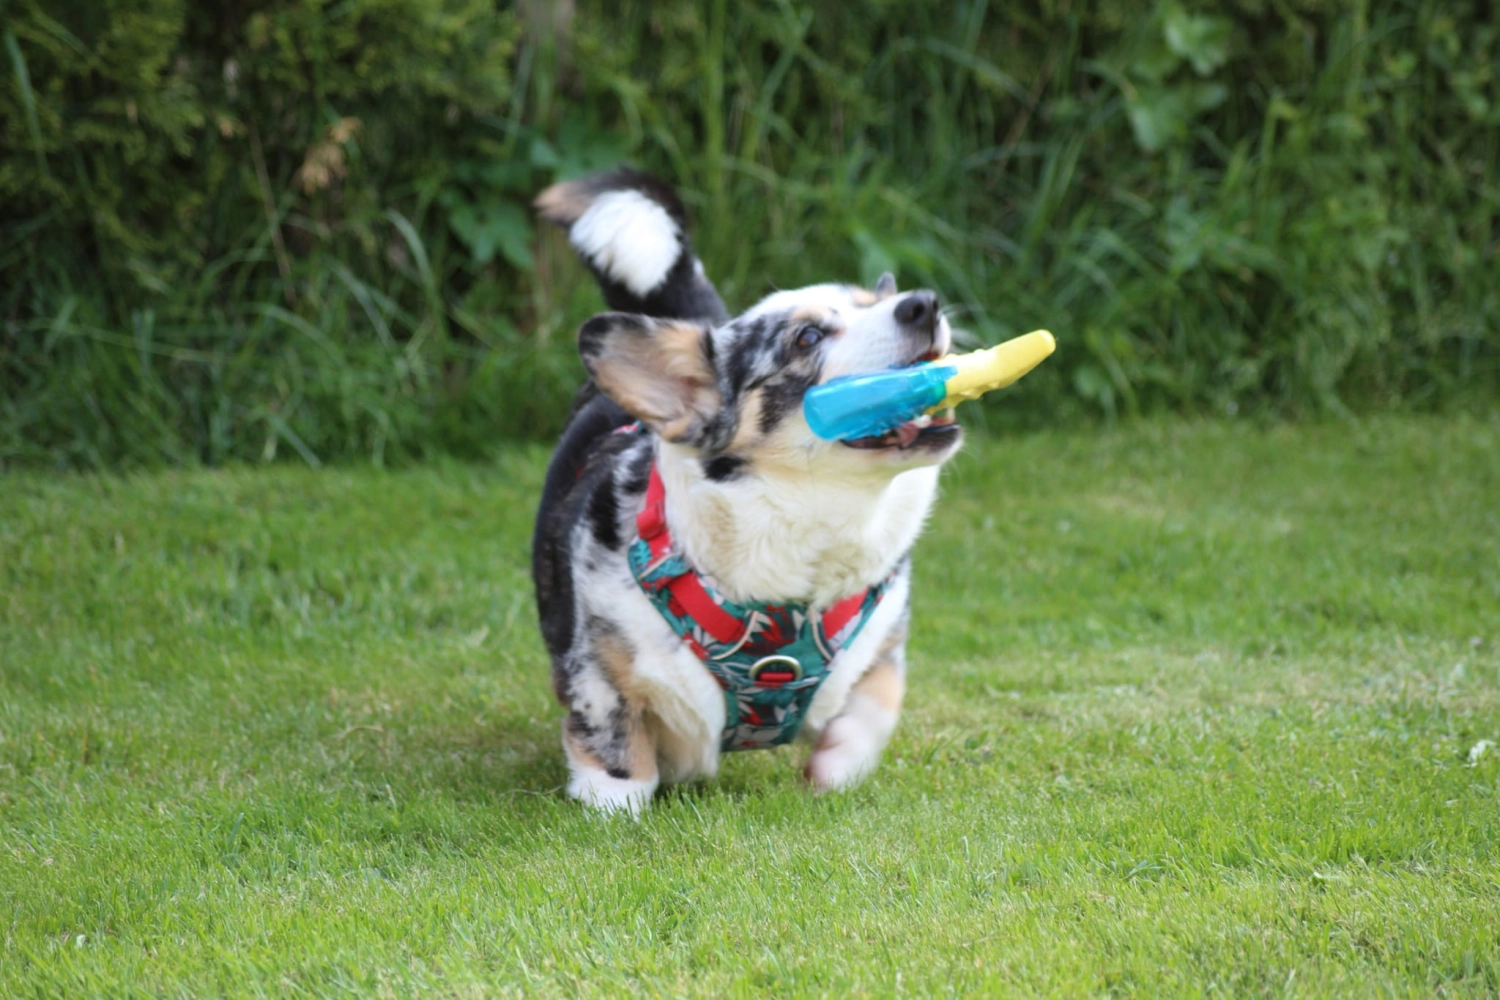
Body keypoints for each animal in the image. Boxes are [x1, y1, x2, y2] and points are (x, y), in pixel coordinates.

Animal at [534, 172, 960, 815]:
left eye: (873, 301)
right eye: (807, 336)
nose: (924, 303)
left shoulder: (885, 642)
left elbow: (875, 706)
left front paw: (835, 767)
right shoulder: (597, 670)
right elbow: (614, 740)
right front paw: (613, 804)